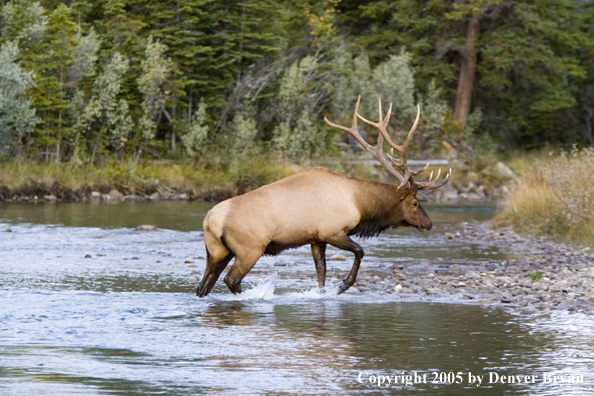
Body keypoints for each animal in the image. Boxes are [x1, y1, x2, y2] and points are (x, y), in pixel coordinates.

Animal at [195, 96, 448, 296]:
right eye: (415, 202)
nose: (428, 223)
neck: (360, 204)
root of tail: (209, 219)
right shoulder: (332, 231)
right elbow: (360, 251)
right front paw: (344, 285)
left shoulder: (317, 239)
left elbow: (321, 274)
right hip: (250, 249)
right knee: (231, 280)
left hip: (216, 252)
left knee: (203, 287)